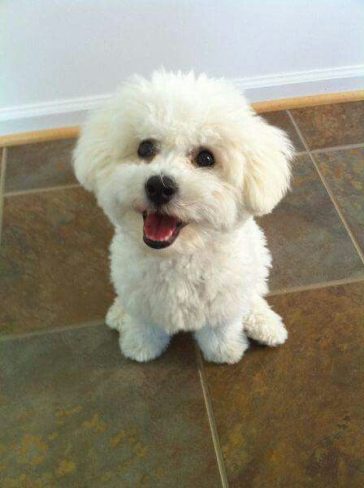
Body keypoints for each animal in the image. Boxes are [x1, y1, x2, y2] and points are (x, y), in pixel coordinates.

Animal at [73, 70, 292, 364]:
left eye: (206, 158)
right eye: (145, 148)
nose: (159, 186)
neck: (177, 258)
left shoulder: (223, 302)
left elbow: (221, 328)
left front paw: (224, 352)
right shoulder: (142, 300)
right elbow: (144, 325)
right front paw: (140, 347)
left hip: (257, 259)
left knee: (254, 291)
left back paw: (264, 323)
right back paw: (119, 312)